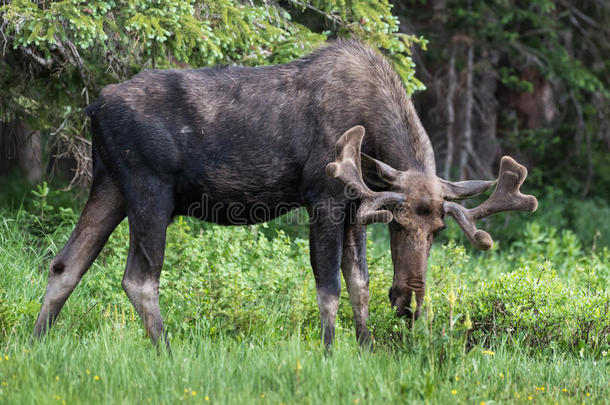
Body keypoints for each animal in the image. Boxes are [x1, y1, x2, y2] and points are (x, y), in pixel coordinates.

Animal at [34, 39, 536, 346]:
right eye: (397, 224)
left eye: (437, 231)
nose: (409, 301)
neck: (372, 134)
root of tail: (93, 107)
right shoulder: (324, 196)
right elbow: (328, 286)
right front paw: (331, 352)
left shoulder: (355, 204)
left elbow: (359, 283)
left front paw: (367, 347)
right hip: (148, 189)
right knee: (139, 278)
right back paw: (167, 352)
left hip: (109, 184)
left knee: (64, 264)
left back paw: (35, 341)